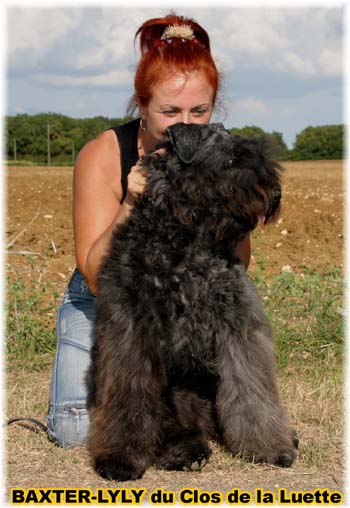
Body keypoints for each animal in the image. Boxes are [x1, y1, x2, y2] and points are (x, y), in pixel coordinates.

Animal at [86, 123, 296, 480]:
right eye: (231, 159)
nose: (275, 195)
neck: (185, 241)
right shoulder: (131, 334)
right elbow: (130, 396)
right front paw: (120, 459)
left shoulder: (238, 327)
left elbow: (251, 389)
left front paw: (269, 447)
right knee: (171, 421)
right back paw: (183, 451)